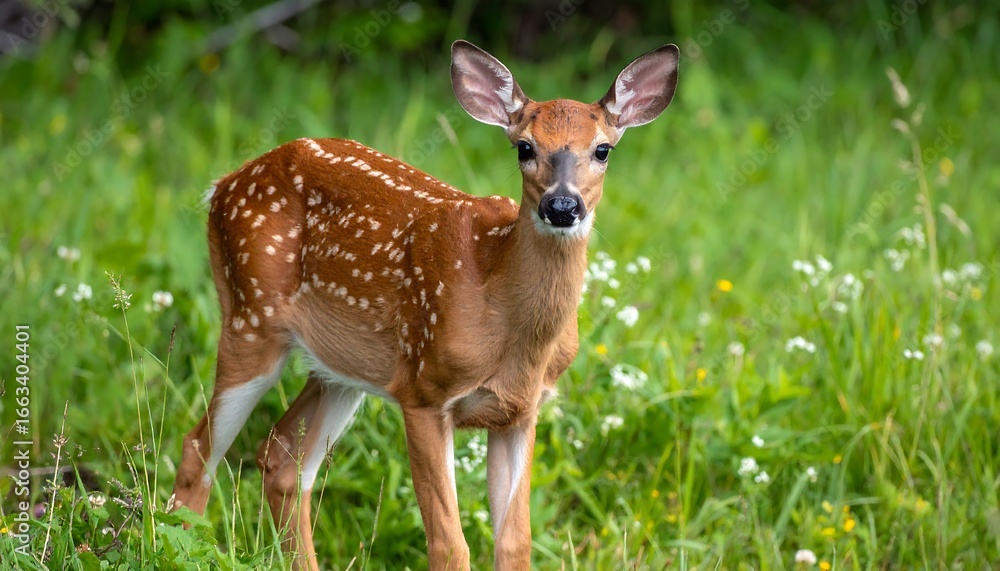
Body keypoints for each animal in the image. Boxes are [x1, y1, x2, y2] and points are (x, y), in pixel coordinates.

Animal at [169, 39, 678, 570]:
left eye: (603, 149)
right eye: (524, 147)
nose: (561, 206)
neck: (508, 325)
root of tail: (222, 185)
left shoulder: (521, 411)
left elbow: (515, 541)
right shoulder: (423, 390)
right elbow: (449, 543)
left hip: (342, 368)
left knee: (283, 458)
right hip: (250, 317)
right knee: (198, 449)